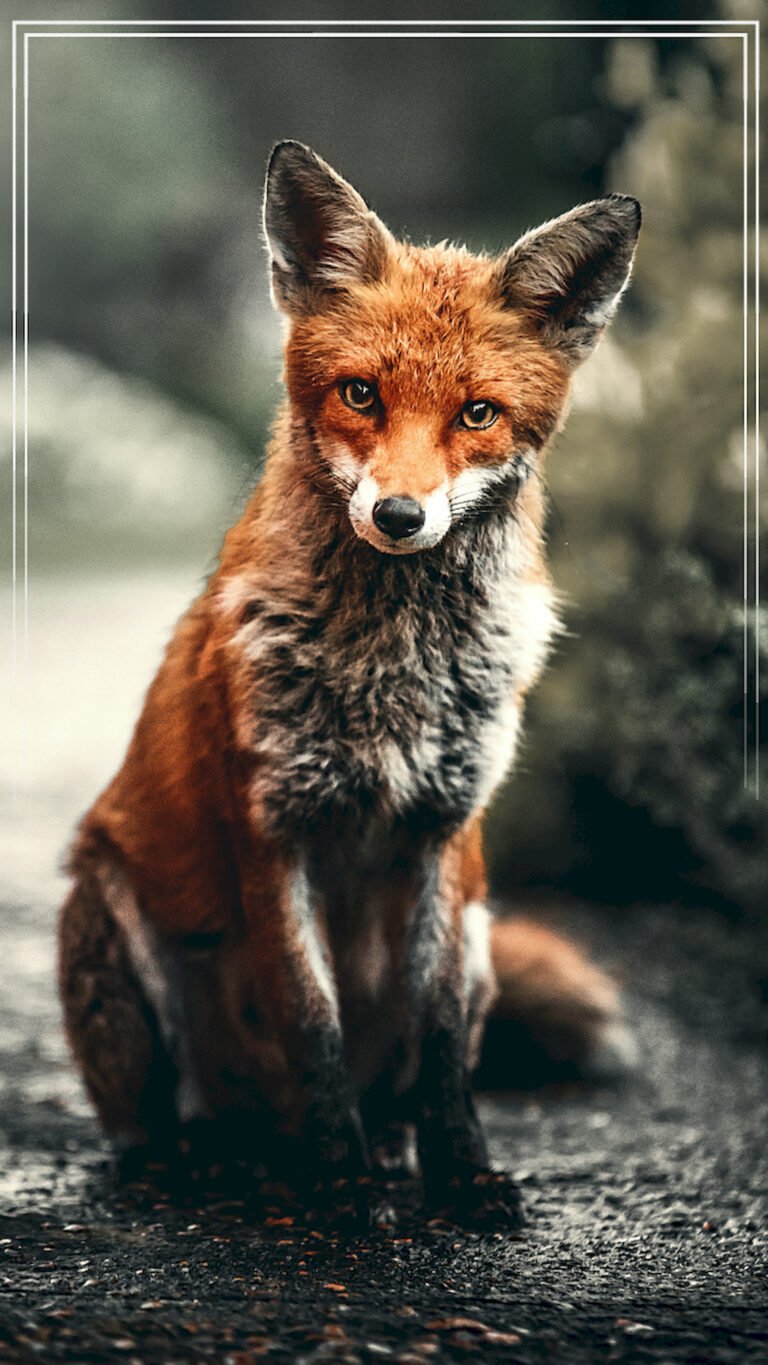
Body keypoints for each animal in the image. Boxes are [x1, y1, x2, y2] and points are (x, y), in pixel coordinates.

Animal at [58, 142, 640, 1228]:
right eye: (362, 394)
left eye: (477, 413)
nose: (401, 516)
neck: (392, 670)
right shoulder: (273, 829)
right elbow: (312, 1022)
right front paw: (339, 1187)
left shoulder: (447, 835)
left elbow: (443, 1043)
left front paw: (462, 1174)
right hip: (111, 916)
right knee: (159, 1122)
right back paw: (203, 1162)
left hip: (484, 929)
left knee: (400, 1083)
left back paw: (386, 1149)